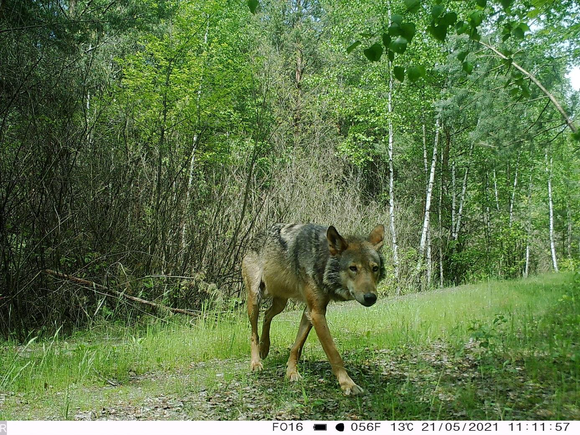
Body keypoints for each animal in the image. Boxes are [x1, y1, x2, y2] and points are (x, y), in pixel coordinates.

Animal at [241, 223, 386, 396]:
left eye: (375, 268)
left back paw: (265, 347)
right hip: (255, 300)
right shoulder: (316, 313)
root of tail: (254, 238)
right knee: (253, 333)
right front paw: (347, 384)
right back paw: (256, 362)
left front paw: (291, 372)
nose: (371, 297)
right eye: (353, 268)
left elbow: (297, 345)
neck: (320, 259)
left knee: (267, 315)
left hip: (280, 303)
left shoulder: (310, 311)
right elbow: (334, 354)